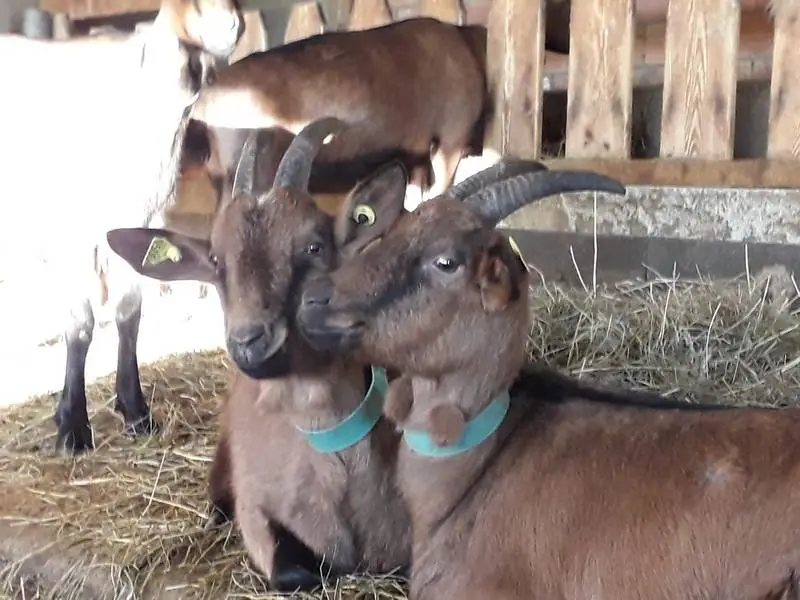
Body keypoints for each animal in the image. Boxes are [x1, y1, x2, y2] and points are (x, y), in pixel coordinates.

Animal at [0, 0, 242, 455]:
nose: (233, 24)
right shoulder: (74, 233)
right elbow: (80, 325)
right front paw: (73, 427)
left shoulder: (137, 223)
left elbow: (130, 314)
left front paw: (135, 410)